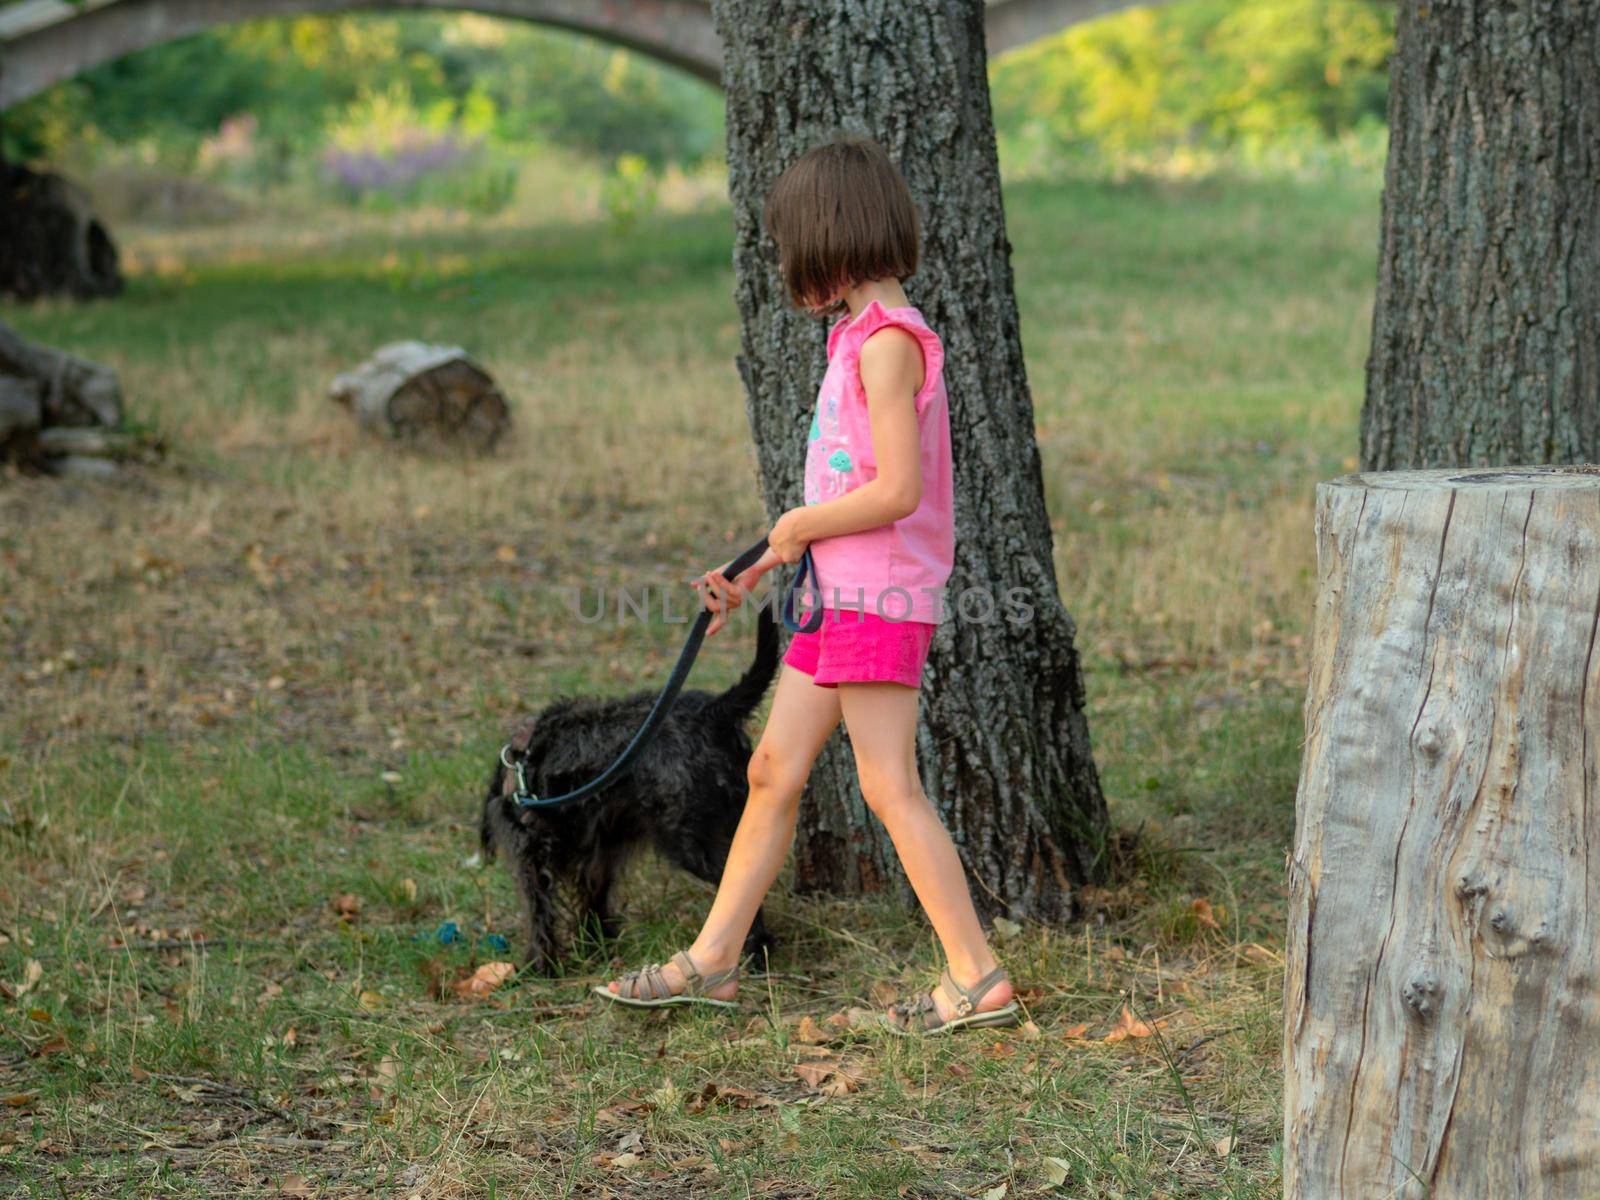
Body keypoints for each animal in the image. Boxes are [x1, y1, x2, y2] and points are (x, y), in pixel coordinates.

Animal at [480, 611, 780, 979]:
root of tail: (714, 710)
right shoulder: (601, 850)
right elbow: (594, 898)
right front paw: (596, 944)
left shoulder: (531, 858)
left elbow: (540, 914)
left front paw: (541, 965)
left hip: (689, 840)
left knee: (737, 884)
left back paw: (753, 950)